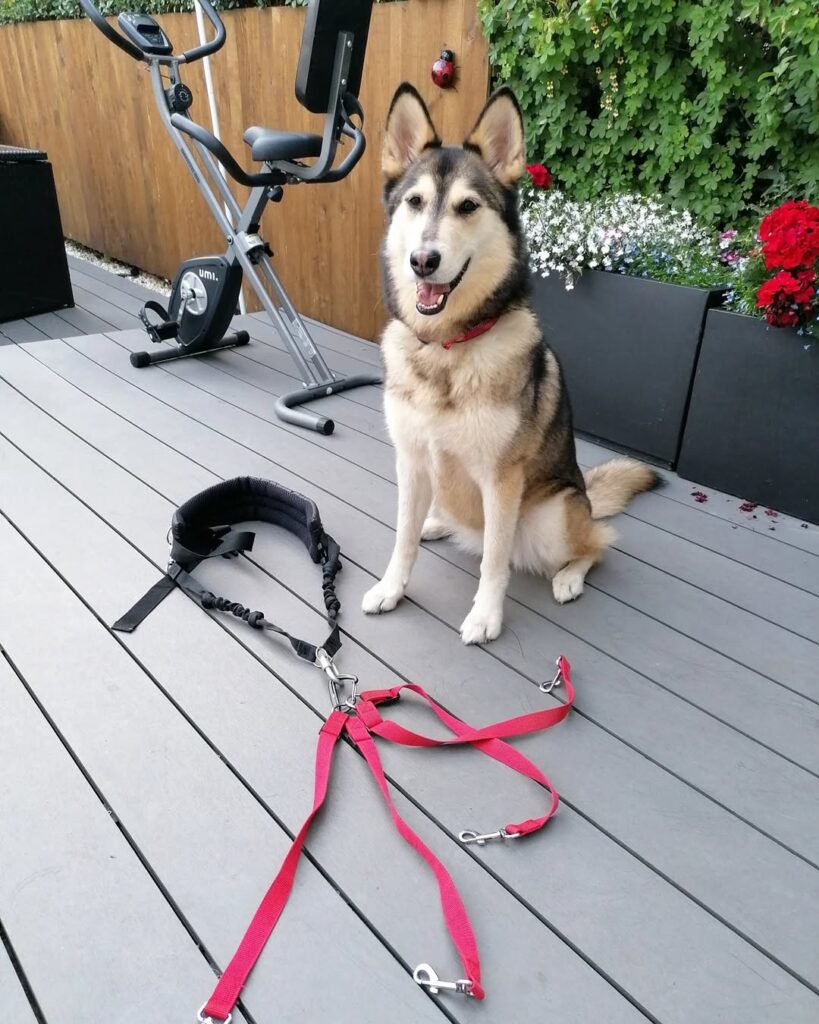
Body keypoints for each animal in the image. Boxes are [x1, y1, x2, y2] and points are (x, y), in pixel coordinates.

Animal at [362, 83, 655, 643]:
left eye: (467, 206)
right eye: (415, 202)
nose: (423, 261)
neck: (447, 347)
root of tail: (585, 492)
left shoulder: (500, 481)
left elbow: (494, 562)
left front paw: (485, 616)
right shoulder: (411, 462)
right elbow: (401, 539)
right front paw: (392, 588)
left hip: (552, 518)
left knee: (598, 543)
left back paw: (569, 577)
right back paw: (437, 523)